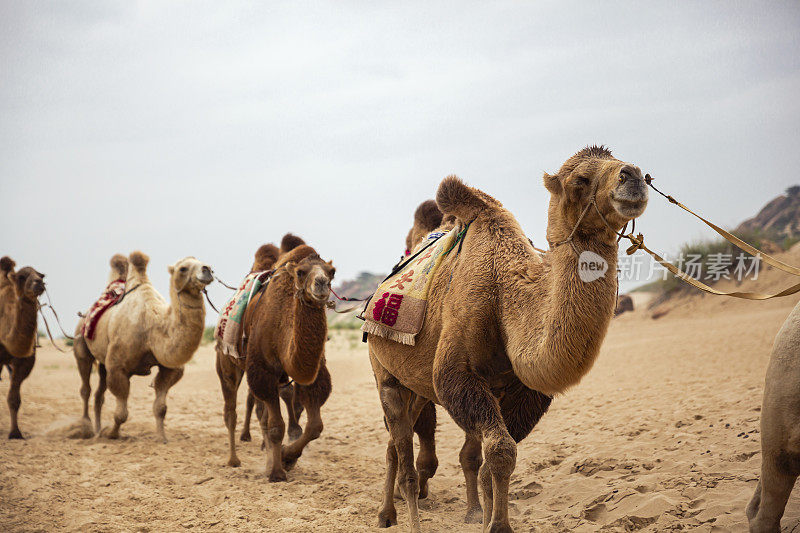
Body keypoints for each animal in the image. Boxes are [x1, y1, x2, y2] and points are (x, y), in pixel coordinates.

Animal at [0, 256, 45, 436]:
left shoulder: (24, 360)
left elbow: (14, 398)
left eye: (41, 274)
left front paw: (15, 433)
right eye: (22, 277)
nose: (39, 283)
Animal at [73, 250, 212, 440]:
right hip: (81, 347)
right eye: (183, 268)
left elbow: (161, 408)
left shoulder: (169, 368)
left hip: (102, 362)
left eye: (200, 262)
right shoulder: (117, 367)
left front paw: (162, 438)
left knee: (98, 394)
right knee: (85, 388)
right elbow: (121, 414)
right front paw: (112, 434)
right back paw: (86, 428)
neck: (153, 326)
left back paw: (97, 430)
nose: (208, 269)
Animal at [225, 239, 334, 480]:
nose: (321, 283)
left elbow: (315, 427)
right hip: (228, 360)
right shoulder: (263, 371)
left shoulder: (314, 374)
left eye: (332, 271)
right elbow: (275, 426)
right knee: (237, 408)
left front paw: (287, 457)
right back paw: (235, 459)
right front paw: (276, 471)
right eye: (301, 272)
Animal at [368, 147, 648, 532]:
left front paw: (485, 519)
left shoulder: (523, 392)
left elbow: (491, 461)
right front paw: (497, 525)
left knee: (406, 442)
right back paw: (395, 516)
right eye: (580, 180)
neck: (505, 293)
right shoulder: (457, 373)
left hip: (417, 385)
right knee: (401, 451)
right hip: (385, 373)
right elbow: (500, 452)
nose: (633, 175)